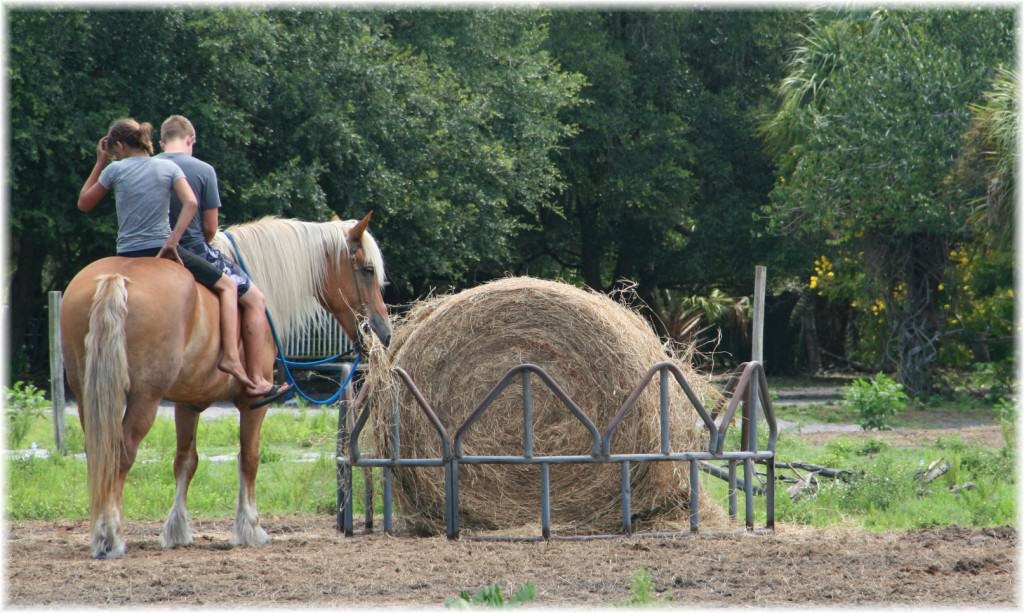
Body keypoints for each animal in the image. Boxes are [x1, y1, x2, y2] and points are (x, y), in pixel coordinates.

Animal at [59, 213, 389, 560]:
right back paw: (110, 536)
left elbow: (186, 461)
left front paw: (177, 530)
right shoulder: (252, 405)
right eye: (368, 270)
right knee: (120, 454)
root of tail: (116, 279)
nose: (384, 331)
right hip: (143, 399)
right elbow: (249, 458)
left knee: (99, 454)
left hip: (88, 397)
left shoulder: (187, 403)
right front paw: (250, 528)